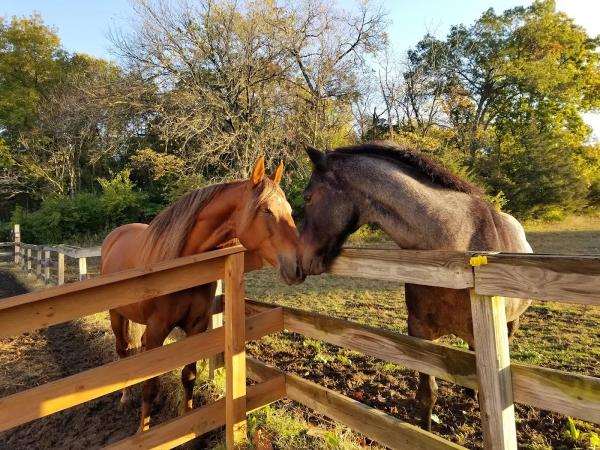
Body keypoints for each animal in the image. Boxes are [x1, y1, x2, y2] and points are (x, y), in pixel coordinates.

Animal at [102, 157, 304, 428]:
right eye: (266, 211)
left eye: (290, 211)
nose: (299, 265)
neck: (182, 264)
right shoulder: (157, 330)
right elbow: (150, 386)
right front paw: (143, 430)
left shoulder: (196, 326)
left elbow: (188, 376)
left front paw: (188, 423)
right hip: (117, 315)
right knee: (123, 351)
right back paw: (125, 398)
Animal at [298, 142, 532, 430]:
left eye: (308, 197)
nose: (301, 258)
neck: (455, 251)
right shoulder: (420, 332)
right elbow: (427, 395)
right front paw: (426, 429)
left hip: (509, 325)